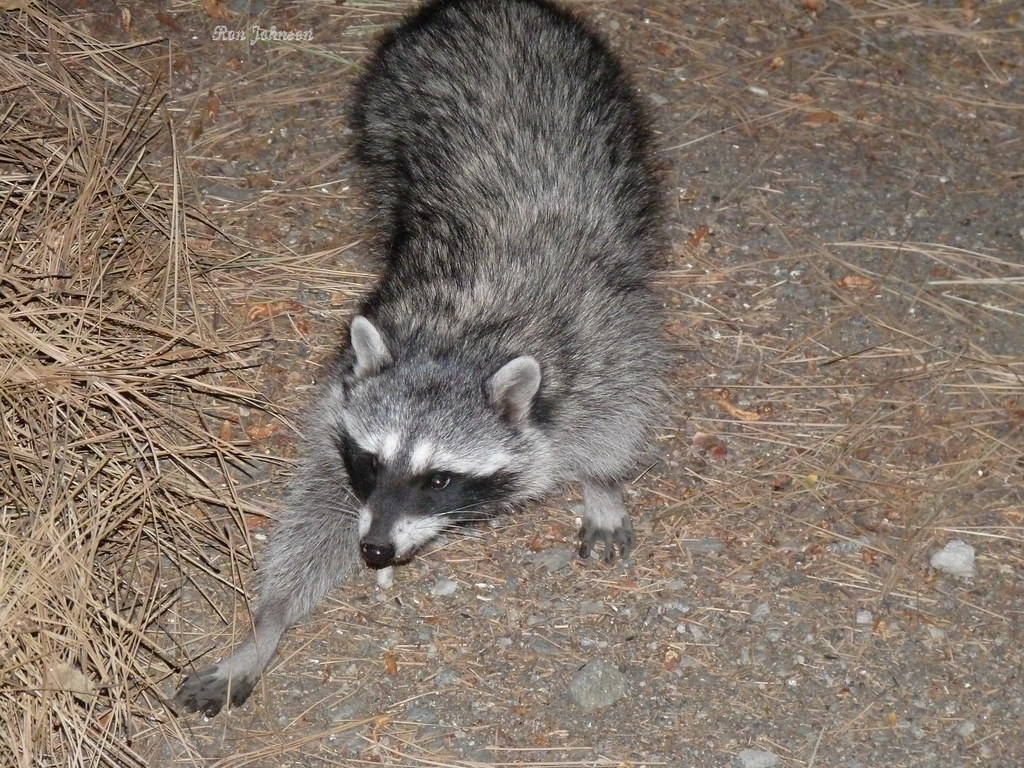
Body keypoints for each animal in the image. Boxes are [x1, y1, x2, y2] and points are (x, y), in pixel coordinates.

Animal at [175, 0, 662, 718]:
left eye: (439, 479)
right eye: (372, 462)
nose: (375, 549)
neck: (457, 343)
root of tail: (485, 6)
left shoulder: (599, 339)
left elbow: (620, 409)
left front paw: (602, 481)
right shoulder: (344, 396)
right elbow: (321, 501)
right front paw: (267, 624)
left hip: (612, 118)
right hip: (384, 113)